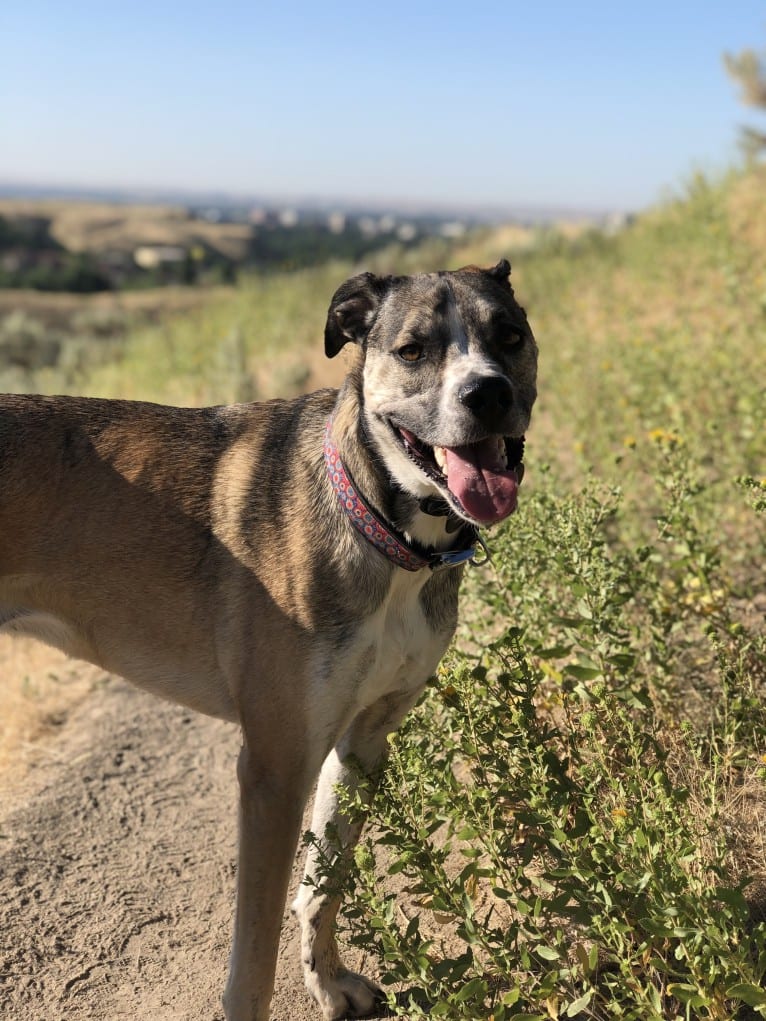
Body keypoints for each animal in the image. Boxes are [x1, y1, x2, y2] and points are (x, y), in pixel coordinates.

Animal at [0, 259, 539, 1016]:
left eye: (510, 336)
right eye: (413, 350)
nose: (488, 393)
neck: (382, 527)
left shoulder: (361, 741)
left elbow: (322, 885)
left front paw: (328, 980)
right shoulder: (273, 770)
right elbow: (253, 959)